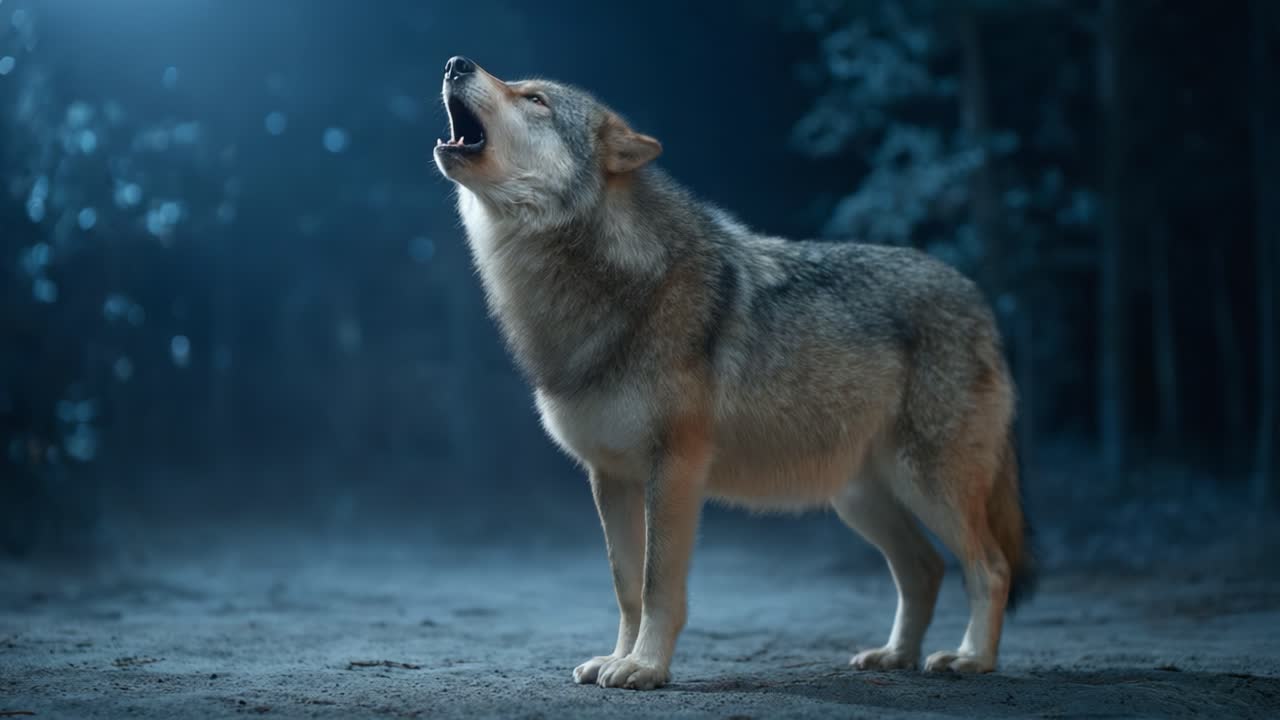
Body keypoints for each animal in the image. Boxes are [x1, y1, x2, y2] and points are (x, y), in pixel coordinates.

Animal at [433, 56, 1034, 690]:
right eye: (522, 89)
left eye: (535, 100)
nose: (455, 63)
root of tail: (979, 299)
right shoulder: (610, 476)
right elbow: (625, 587)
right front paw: (617, 658)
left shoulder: (675, 468)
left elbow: (657, 584)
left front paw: (644, 667)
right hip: (861, 499)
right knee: (925, 569)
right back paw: (895, 656)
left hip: (928, 485)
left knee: (990, 567)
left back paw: (971, 658)